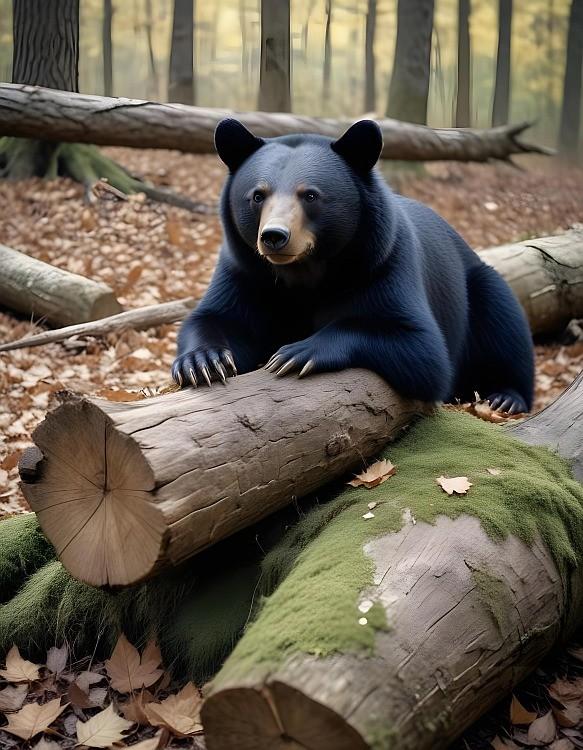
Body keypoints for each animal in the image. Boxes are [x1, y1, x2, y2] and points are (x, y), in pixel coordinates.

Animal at [172, 118, 534, 414]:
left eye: (311, 195)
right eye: (257, 195)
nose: (274, 236)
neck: (303, 272)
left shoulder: (383, 263)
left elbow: (423, 348)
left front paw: (298, 352)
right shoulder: (244, 271)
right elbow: (217, 317)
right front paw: (203, 362)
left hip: (480, 283)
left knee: (503, 323)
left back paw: (506, 397)